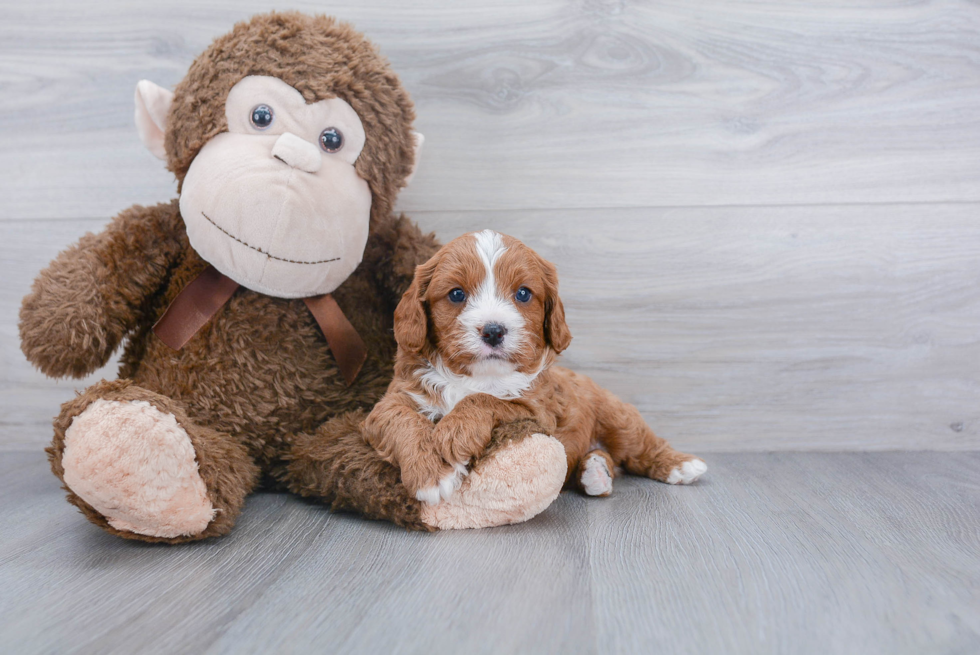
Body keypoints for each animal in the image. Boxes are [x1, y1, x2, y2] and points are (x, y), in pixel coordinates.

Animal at [364, 228, 708, 504]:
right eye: (456, 294)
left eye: (523, 293)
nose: (493, 330)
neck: (477, 376)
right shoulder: (390, 402)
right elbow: (400, 420)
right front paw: (432, 475)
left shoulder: (539, 412)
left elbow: (488, 400)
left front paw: (453, 430)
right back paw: (595, 473)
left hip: (616, 416)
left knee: (641, 446)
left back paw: (681, 465)